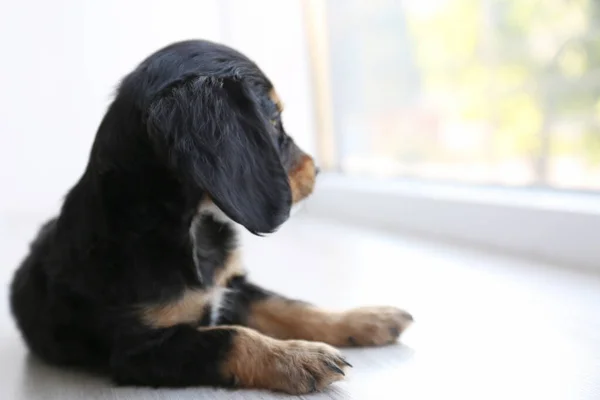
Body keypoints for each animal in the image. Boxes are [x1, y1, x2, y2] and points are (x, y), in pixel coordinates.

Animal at [8, 40, 412, 394]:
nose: (317, 170)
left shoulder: (233, 288)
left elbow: (292, 306)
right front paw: (298, 357)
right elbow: (231, 338)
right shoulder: (141, 349)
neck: (190, 227)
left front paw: (367, 319)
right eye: (273, 121)